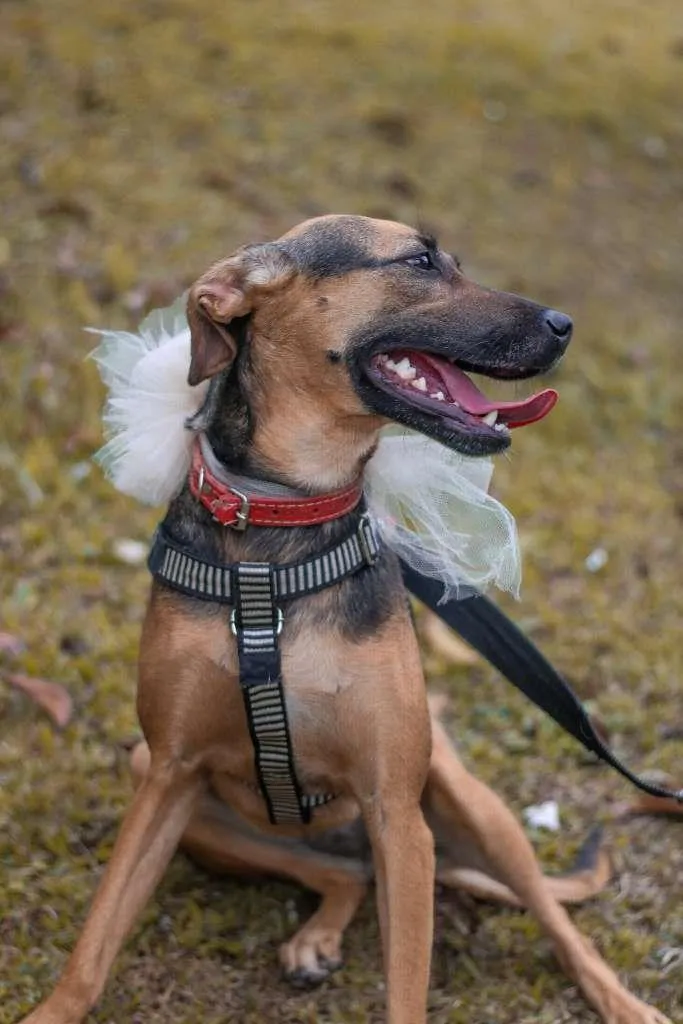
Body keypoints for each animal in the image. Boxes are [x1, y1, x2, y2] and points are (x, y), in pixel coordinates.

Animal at [18, 216, 671, 1024]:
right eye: (419, 261)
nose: (563, 324)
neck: (280, 529)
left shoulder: (397, 815)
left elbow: (406, 991)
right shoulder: (167, 772)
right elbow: (94, 943)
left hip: (472, 808)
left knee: (555, 922)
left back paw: (623, 1001)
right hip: (180, 790)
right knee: (345, 878)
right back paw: (316, 939)